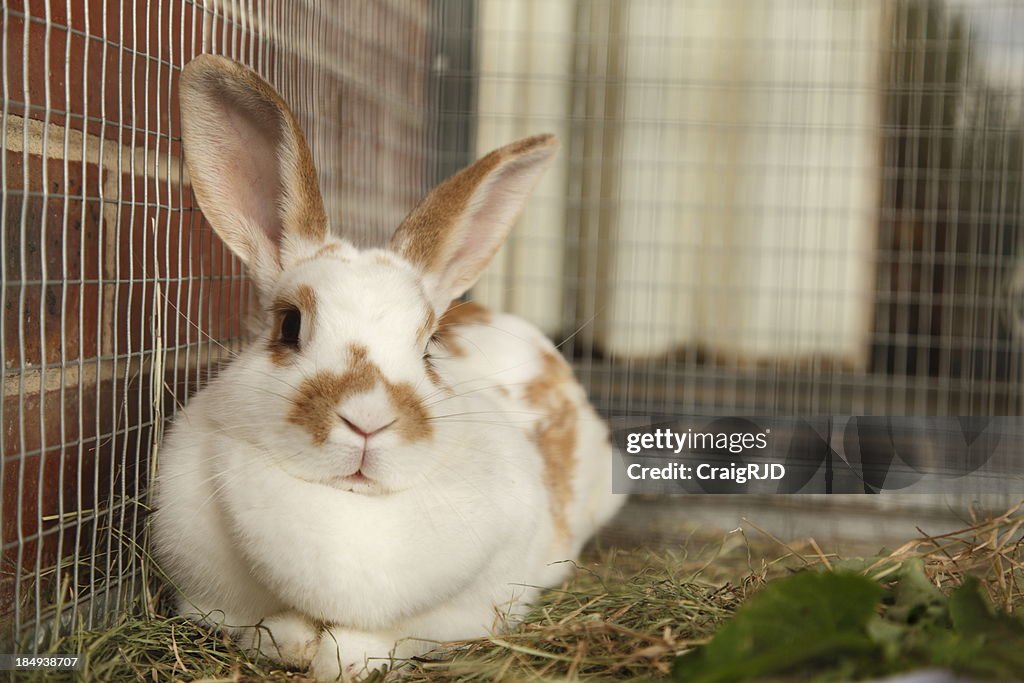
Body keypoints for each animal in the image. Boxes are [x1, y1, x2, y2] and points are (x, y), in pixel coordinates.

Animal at [151, 54, 625, 682]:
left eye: (429, 346)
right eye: (289, 326)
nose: (367, 420)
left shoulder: (469, 607)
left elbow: (382, 639)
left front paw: (341, 656)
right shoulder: (208, 594)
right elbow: (269, 629)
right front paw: (298, 643)